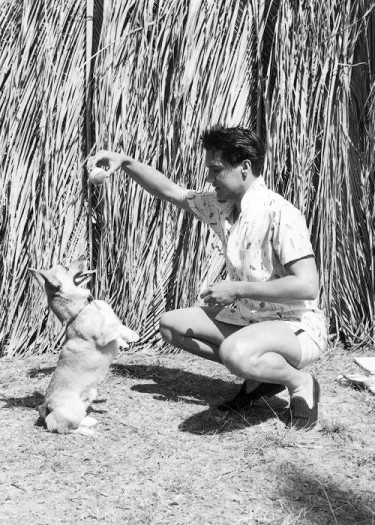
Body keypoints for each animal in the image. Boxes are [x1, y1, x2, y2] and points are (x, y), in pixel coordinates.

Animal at [28, 256, 139, 432]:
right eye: (66, 268)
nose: (84, 257)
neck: (80, 310)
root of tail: (46, 408)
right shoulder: (103, 335)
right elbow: (114, 325)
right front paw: (130, 336)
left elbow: (116, 324)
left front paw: (125, 339)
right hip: (70, 412)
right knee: (65, 428)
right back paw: (88, 431)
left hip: (90, 394)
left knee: (77, 419)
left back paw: (89, 421)